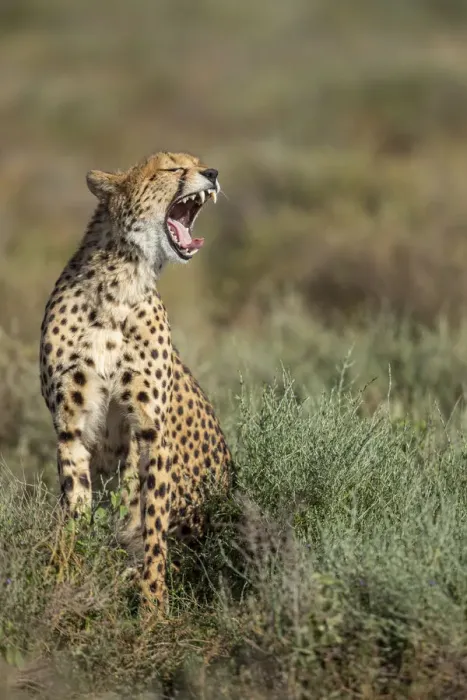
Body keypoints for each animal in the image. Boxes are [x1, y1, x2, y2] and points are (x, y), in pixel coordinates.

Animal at [39, 150, 233, 608]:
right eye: (172, 168)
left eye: (198, 162)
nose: (213, 172)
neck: (120, 283)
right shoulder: (70, 425)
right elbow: (75, 504)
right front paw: (67, 575)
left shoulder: (150, 428)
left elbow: (152, 524)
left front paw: (153, 605)